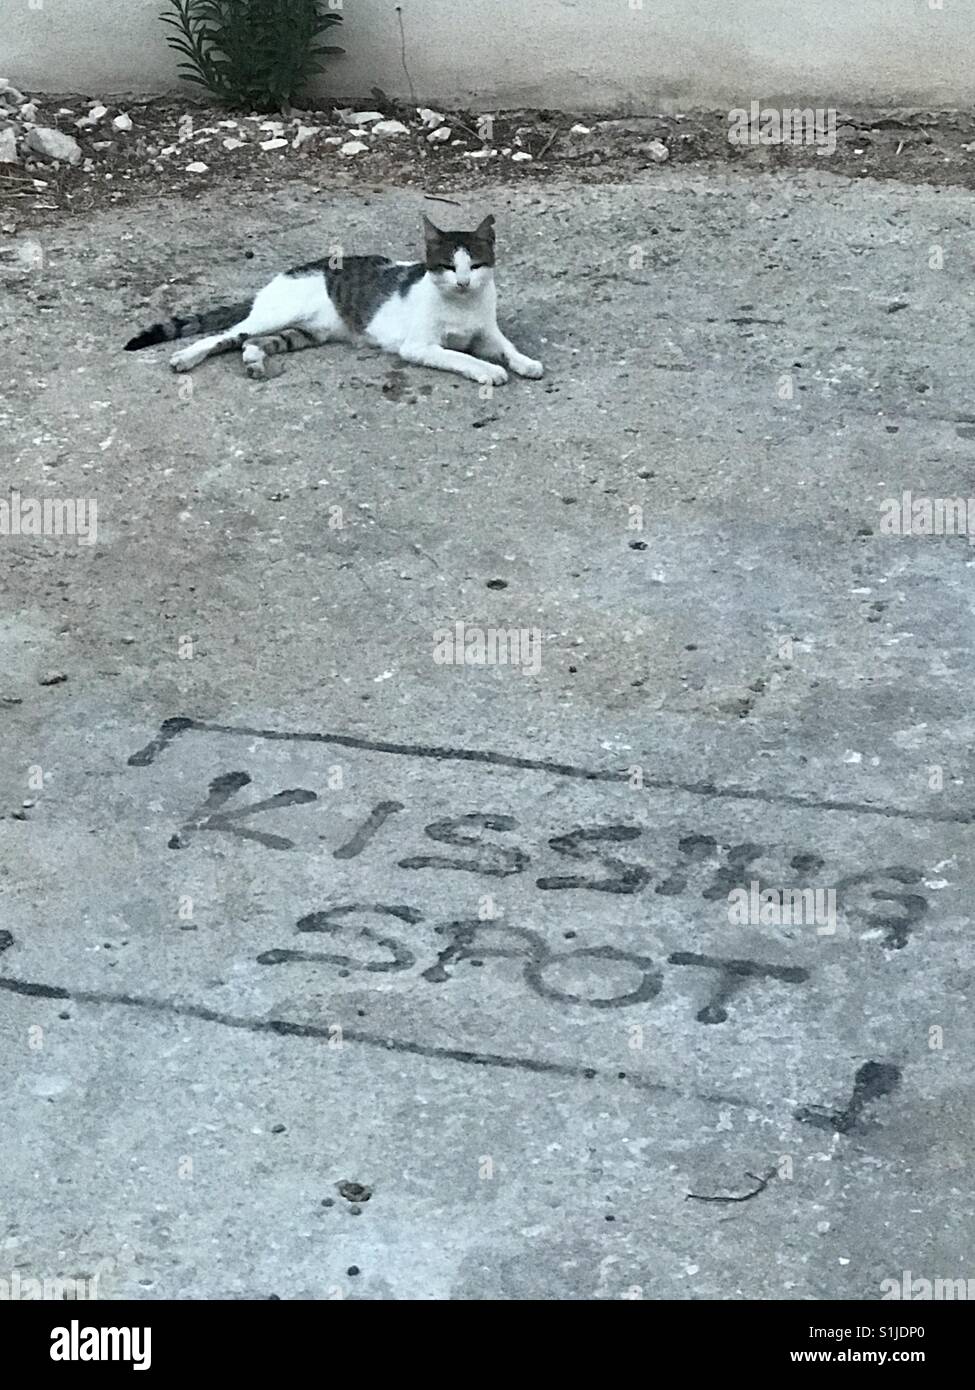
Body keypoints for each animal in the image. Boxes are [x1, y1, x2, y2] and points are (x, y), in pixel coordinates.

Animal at [123, 211, 539, 386]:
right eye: (449, 267)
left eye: (476, 265)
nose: (465, 282)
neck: (462, 306)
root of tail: (275, 280)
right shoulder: (419, 346)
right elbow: (461, 357)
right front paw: (487, 370)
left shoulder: (487, 331)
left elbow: (506, 347)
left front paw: (525, 362)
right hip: (275, 315)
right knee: (223, 336)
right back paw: (185, 357)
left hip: (309, 332)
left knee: (251, 342)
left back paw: (255, 362)